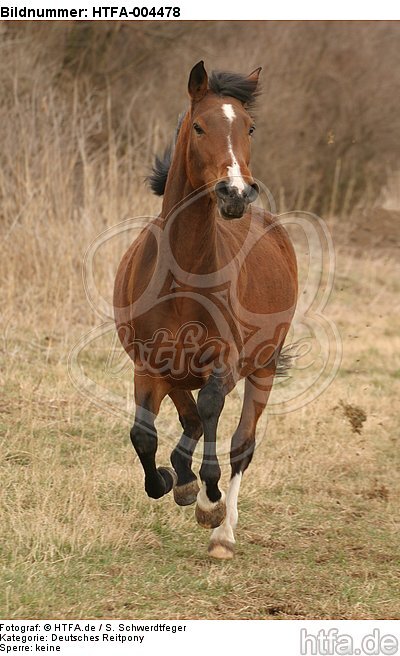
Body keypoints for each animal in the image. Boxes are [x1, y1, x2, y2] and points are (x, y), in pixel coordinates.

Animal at [113, 61, 298, 559]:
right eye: (198, 126)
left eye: (249, 127)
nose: (235, 193)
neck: (183, 275)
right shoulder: (149, 364)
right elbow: (145, 435)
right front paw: (169, 481)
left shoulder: (225, 361)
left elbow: (212, 410)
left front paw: (208, 501)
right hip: (178, 372)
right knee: (190, 420)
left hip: (263, 368)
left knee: (240, 443)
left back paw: (222, 533)